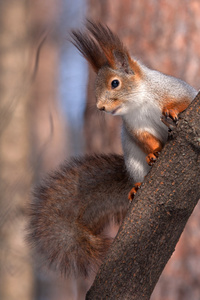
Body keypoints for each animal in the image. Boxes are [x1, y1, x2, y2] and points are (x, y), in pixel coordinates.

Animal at [26, 20, 197, 282]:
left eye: (115, 83)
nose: (100, 107)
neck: (140, 101)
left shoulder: (180, 91)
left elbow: (183, 102)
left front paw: (172, 110)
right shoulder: (134, 126)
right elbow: (145, 139)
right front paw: (154, 151)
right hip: (133, 159)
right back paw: (137, 186)